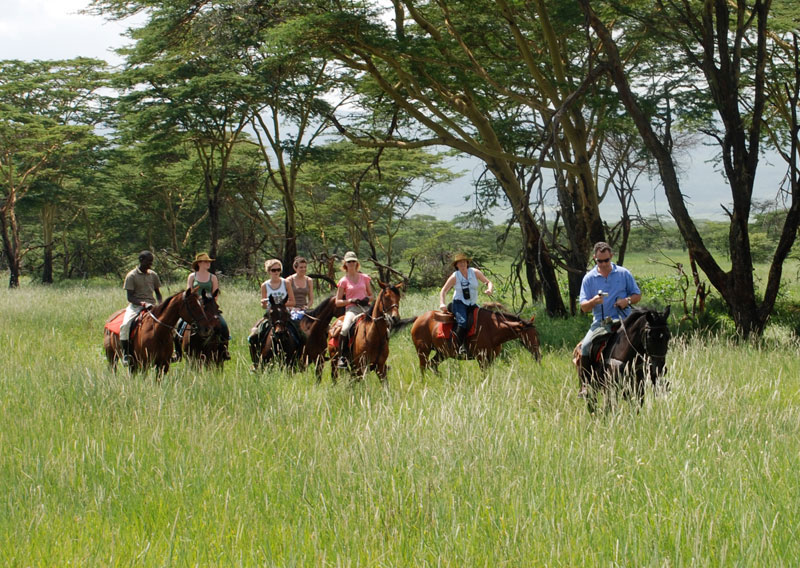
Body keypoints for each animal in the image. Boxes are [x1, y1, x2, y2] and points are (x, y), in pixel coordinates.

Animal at [410, 306, 540, 372]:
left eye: (537, 334)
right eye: (528, 336)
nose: (538, 355)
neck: (492, 328)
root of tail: (418, 318)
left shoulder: (490, 358)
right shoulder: (481, 358)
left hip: (442, 353)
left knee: (432, 365)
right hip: (423, 352)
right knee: (423, 367)